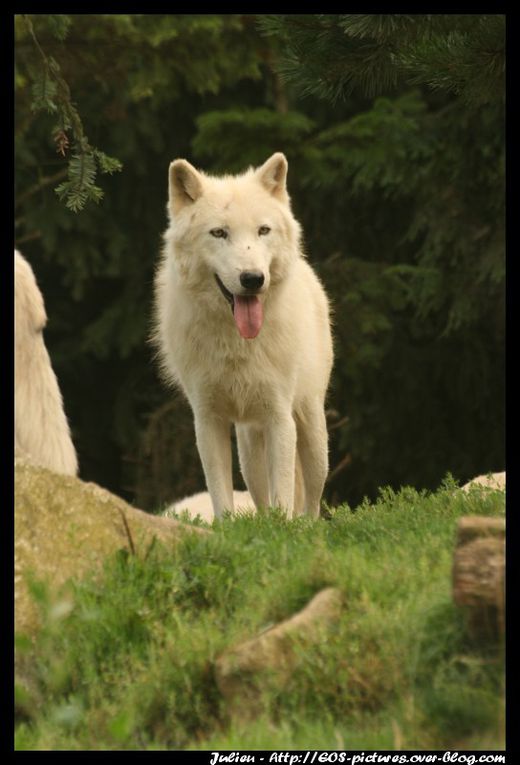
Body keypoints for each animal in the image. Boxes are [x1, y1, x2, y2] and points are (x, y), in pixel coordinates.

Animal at [153, 152, 334, 516]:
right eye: (219, 233)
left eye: (263, 230)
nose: (253, 278)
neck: (237, 342)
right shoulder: (207, 421)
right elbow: (222, 500)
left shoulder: (280, 418)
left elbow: (284, 498)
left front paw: (283, 529)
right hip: (249, 450)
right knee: (260, 499)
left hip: (312, 433)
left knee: (311, 501)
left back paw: (306, 524)